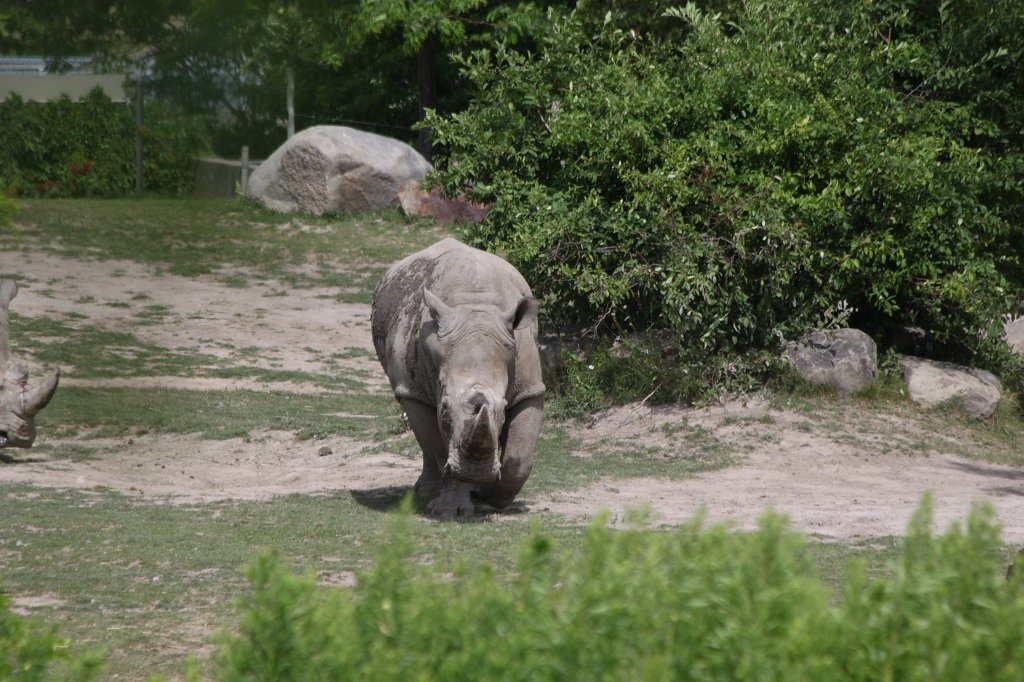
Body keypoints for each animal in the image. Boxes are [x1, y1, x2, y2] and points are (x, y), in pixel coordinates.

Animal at [371, 238, 545, 518]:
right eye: (444, 409)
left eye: (503, 411)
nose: (477, 472)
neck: (476, 309)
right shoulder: (415, 390)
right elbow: (440, 447)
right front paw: (446, 510)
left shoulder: (530, 387)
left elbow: (520, 457)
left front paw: (492, 496)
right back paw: (426, 492)